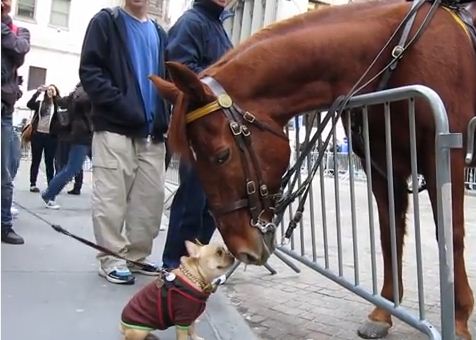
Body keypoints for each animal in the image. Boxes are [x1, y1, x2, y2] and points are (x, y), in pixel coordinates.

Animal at [151, 1, 474, 338]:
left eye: (221, 156)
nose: (242, 249)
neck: (397, 52)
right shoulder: (381, 165)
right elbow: (389, 233)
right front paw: (383, 311)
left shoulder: (445, 153)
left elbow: (451, 234)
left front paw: (459, 317)